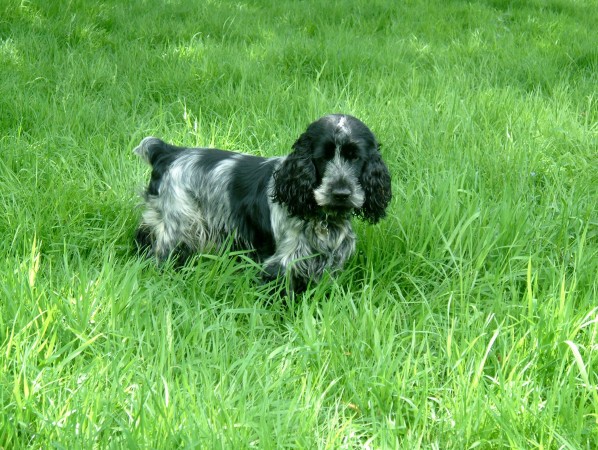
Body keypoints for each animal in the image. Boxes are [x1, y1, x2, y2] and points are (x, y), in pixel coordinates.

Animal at [134, 114, 392, 294]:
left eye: (355, 157)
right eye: (322, 158)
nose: (341, 193)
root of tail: (169, 152)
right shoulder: (284, 261)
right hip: (178, 227)